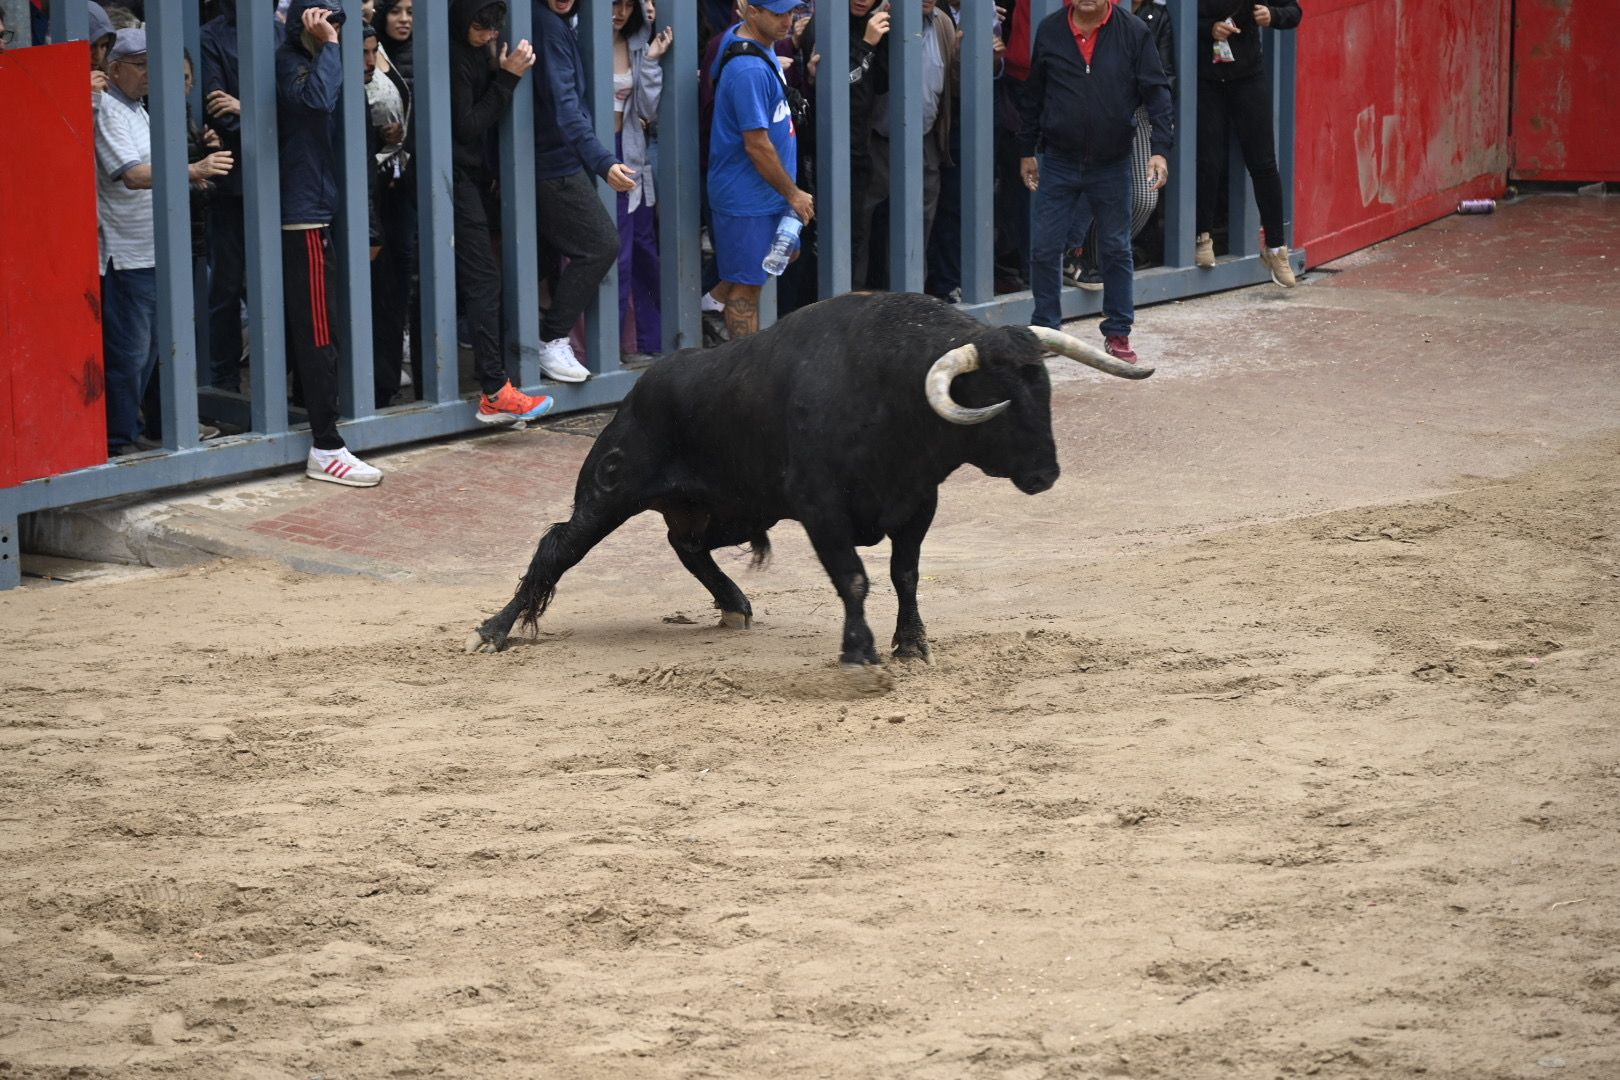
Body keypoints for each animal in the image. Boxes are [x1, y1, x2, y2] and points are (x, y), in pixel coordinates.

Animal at [469, 293, 1153, 667]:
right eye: (996, 394)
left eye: (1044, 389)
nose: (1045, 473)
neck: (890, 390)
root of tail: (641, 388)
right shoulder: (821, 510)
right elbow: (853, 578)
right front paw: (859, 651)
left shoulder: (917, 505)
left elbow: (905, 575)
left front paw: (911, 643)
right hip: (613, 490)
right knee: (560, 543)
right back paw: (495, 629)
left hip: (732, 510)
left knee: (685, 544)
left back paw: (734, 605)